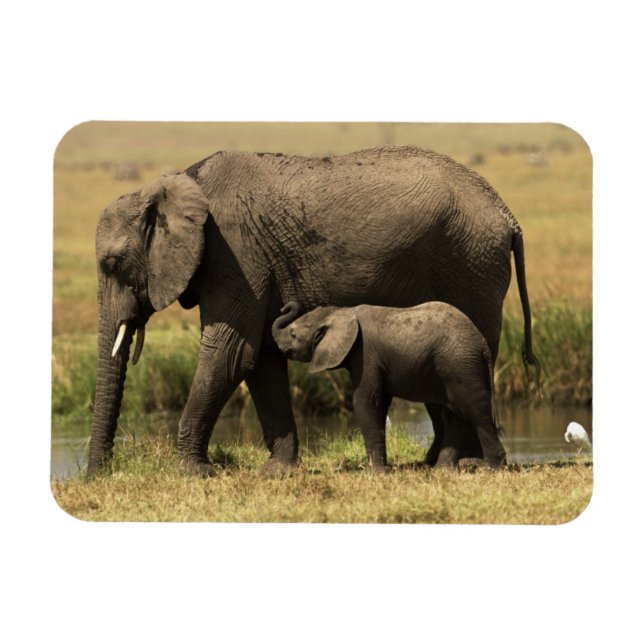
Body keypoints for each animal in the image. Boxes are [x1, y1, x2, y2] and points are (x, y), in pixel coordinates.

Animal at [271, 301, 506, 470]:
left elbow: (365, 401)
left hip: (460, 364)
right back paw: (443, 470)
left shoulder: (365, 353)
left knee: (475, 410)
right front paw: (383, 468)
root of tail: (483, 344)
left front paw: (376, 472)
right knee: (454, 412)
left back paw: (491, 468)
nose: (285, 306)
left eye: (293, 335)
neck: (342, 312)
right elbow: (380, 402)